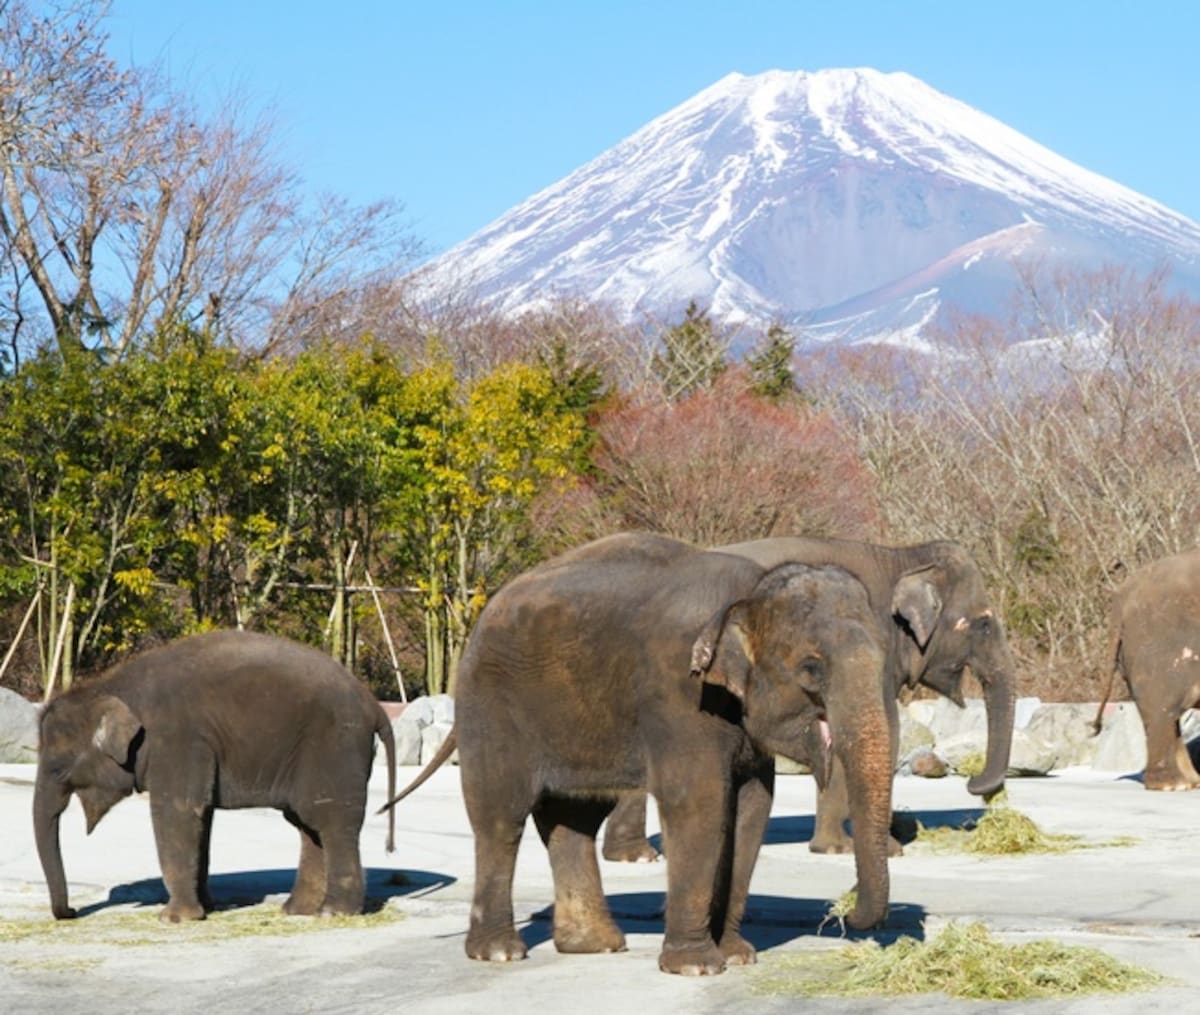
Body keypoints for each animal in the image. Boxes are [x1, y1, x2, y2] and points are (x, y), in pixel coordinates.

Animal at [31, 628, 398, 921]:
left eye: (57, 767)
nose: (71, 912)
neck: (110, 685)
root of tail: (374, 705)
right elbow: (201, 817)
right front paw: (206, 907)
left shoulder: (177, 740)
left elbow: (176, 812)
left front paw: (175, 919)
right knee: (308, 824)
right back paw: (298, 911)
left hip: (335, 746)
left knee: (331, 821)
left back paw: (334, 913)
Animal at [381, 532, 892, 979]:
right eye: (811, 669)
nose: (846, 916)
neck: (751, 589)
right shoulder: (678, 695)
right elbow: (698, 803)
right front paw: (697, 967)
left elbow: (752, 808)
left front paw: (738, 955)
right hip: (492, 708)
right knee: (500, 816)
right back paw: (501, 953)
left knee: (574, 818)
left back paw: (596, 945)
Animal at [604, 537, 1017, 863]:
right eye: (983, 624)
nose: (977, 786)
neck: (902, 556)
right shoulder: (865, 647)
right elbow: (885, 729)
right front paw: (868, 850)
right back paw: (640, 855)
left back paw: (634, 855)